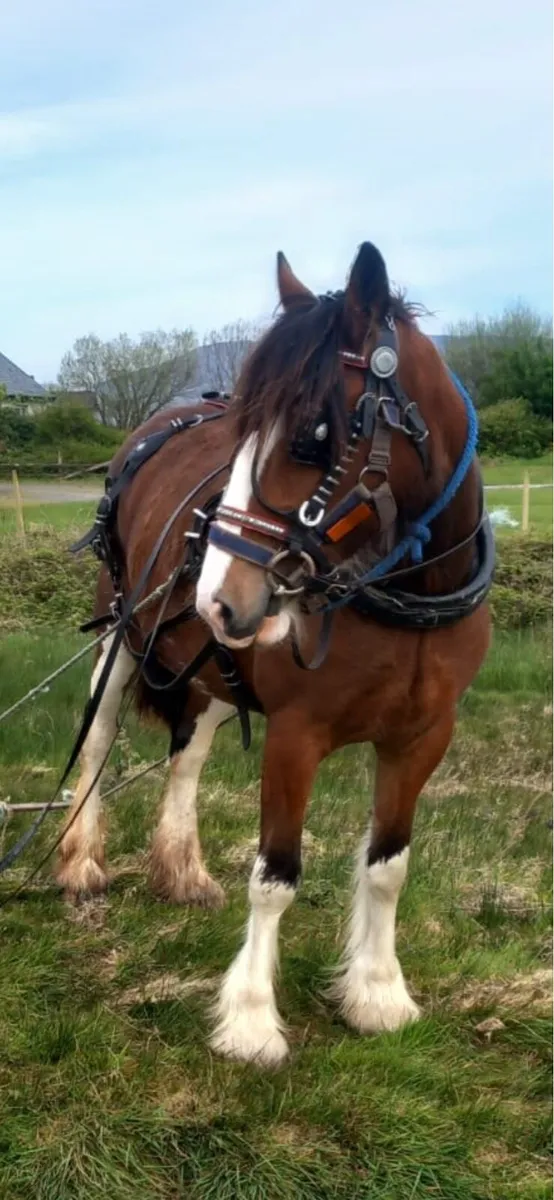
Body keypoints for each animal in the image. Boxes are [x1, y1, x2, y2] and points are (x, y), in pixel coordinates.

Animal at [58, 241, 493, 1066]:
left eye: (312, 436)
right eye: (242, 430)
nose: (217, 599)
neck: (405, 588)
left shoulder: (424, 736)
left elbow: (388, 867)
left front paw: (377, 993)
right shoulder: (297, 735)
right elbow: (277, 875)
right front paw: (253, 1018)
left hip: (208, 665)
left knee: (188, 756)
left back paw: (181, 869)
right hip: (122, 628)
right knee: (96, 737)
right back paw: (80, 859)